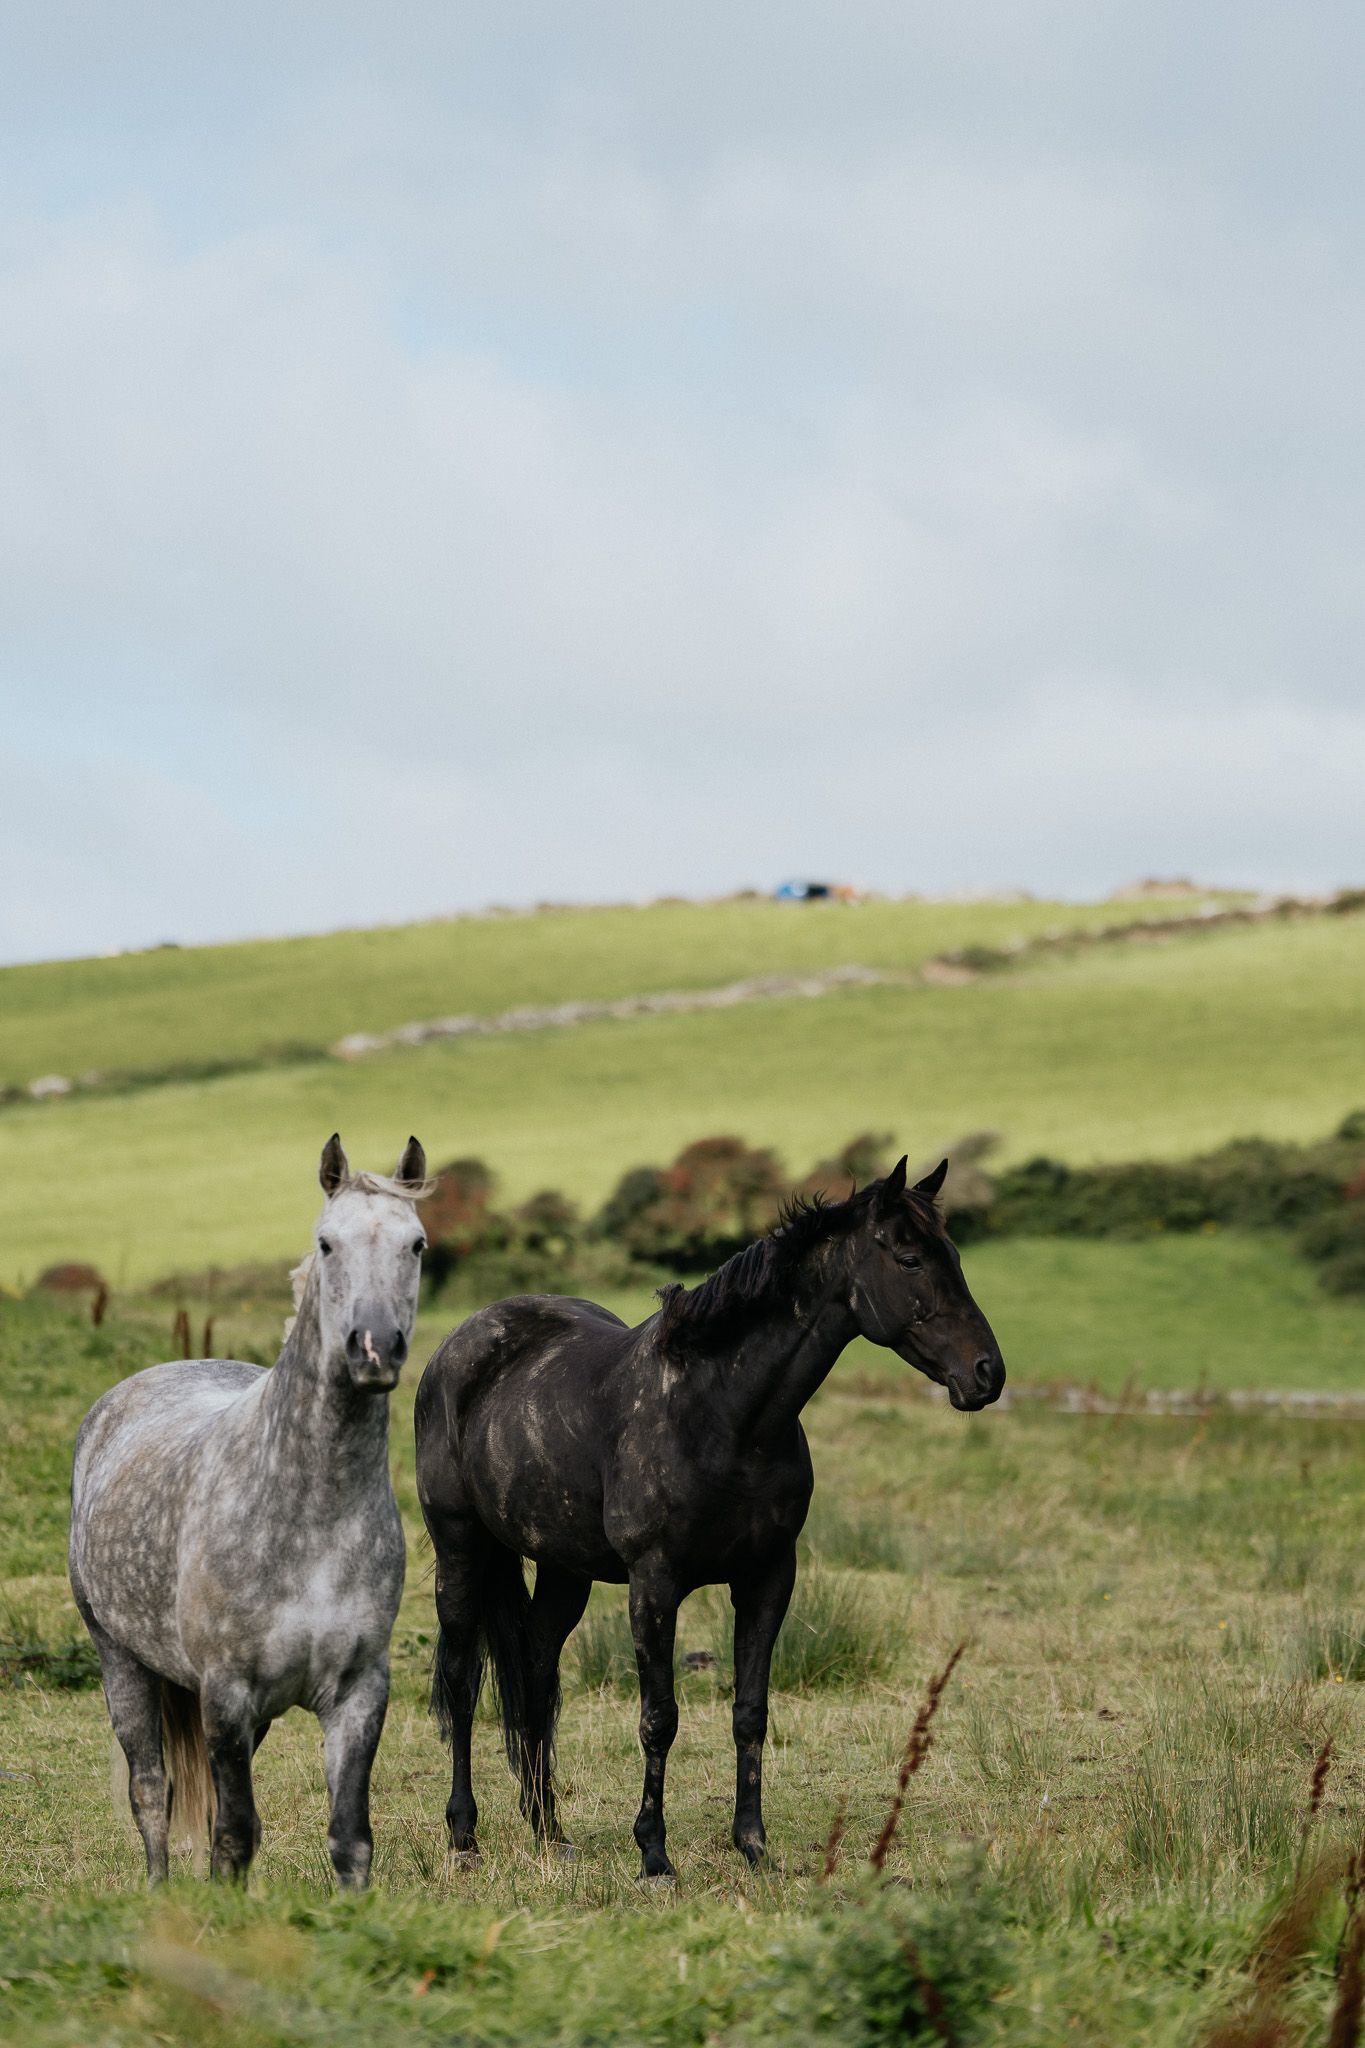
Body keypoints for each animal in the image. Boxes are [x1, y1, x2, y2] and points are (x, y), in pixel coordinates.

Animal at [68, 1134, 429, 1887]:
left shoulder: (357, 1695)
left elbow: (349, 1839)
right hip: (121, 1662)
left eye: (416, 1244)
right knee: (152, 1790)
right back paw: (159, 1890)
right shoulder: (226, 1694)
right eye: (326, 1242)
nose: (374, 1348)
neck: (310, 1517)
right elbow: (234, 1835)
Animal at [414, 1154, 1004, 1881]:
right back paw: (463, 1836)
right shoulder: (654, 1584)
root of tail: (455, 1349)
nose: (986, 1374)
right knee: (462, 1685)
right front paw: (654, 1854)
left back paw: (550, 1832)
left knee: (534, 1677)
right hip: (460, 1551)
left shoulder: (768, 1576)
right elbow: (659, 1717)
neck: (721, 1413)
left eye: (953, 1254)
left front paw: (753, 1844)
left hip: (562, 1571)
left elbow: (750, 1711)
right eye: (910, 1258)